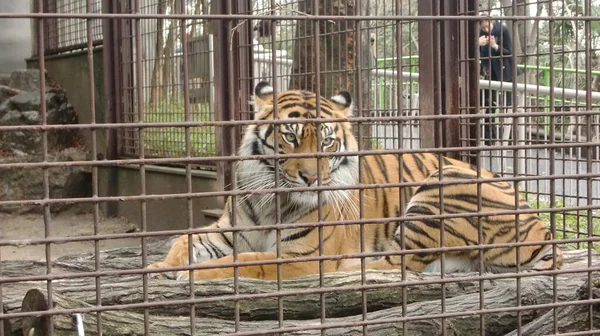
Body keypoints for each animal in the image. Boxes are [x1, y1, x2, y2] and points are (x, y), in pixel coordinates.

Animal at [146, 80, 564, 280]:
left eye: (327, 141)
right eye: (290, 137)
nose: (311, 179)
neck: (272, 199)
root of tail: (541, 228)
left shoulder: (301, 256)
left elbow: (244, 262)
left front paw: (187, 276)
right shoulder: (226, 231)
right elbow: (184, 241)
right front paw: (160, 268)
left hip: (445, 185)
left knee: (396, 263)